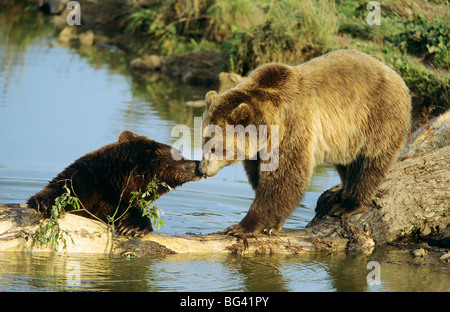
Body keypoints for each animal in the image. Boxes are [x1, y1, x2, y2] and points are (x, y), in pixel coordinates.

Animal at [25, 130, 200, 235]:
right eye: (179, 153)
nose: (198, 163)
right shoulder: (84, 183)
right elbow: (60, 189)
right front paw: (45, 203)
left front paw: (132, 227)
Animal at [200, 50, 412, 238]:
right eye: (203, 141)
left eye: (215, 147)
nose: (202, 169)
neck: (268, 124)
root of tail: (395, 75)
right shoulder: (260, 149)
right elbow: (261, 177)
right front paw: (272, 224)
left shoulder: (293, 128)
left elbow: (285, 178)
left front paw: (242, 227)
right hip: (347, 138)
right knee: (346, 163)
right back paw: (337, 194)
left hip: (377, 118)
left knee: (369, 162)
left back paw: (348, 205)